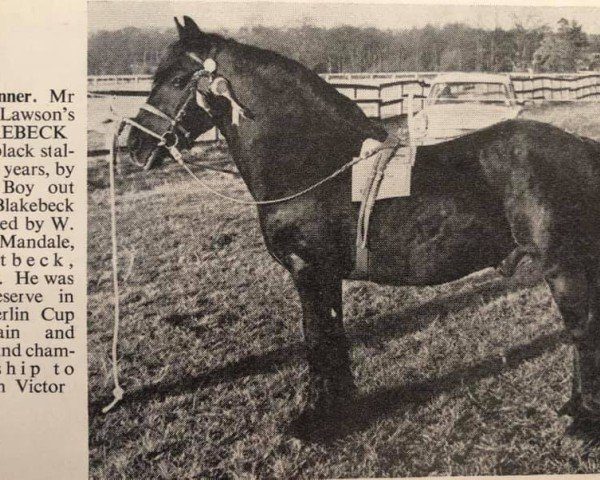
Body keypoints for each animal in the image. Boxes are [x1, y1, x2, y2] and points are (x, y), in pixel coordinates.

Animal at [129, 16, 600, 426]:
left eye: (176, 81)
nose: (134, 145)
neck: (314, 164)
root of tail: (584, 147)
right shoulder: (325, 275)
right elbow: (334, 337)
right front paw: (341, 407)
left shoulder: (308, 271)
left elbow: (317, 340)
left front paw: (315, 420)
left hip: (564, 268)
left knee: (582, 331)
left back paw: (580, 418)